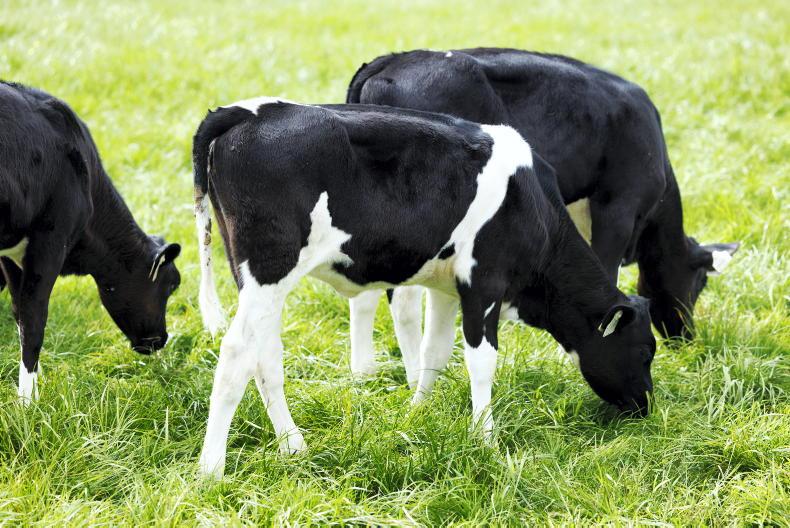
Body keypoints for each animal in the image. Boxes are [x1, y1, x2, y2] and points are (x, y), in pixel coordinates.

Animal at [0, 81, 182, 402]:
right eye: (171, 285)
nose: (161, 339)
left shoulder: (13, 257)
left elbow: (19, 313)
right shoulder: (51, 241)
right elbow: (34, 321)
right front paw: (28, 401)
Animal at [192, 98, 656, 477]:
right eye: (645, 351)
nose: (646, 407)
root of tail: (247, 112)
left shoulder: (447, 288)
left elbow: (434, 352)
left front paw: (417, 411)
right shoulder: (485, 283)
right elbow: (481, 362)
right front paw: (486, 439)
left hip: (256, 281)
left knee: (266, 356)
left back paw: (294, 447)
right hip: (270, 269)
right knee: (237, 353)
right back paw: (211, 471)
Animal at [345, 48, 739, 385]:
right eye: (698, 283)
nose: (687, 339)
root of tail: (388, 61)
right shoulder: (618, 209)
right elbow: (606, 269)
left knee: (365, 294)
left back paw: (364, 372)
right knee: (404, 303)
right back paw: (414, 375)